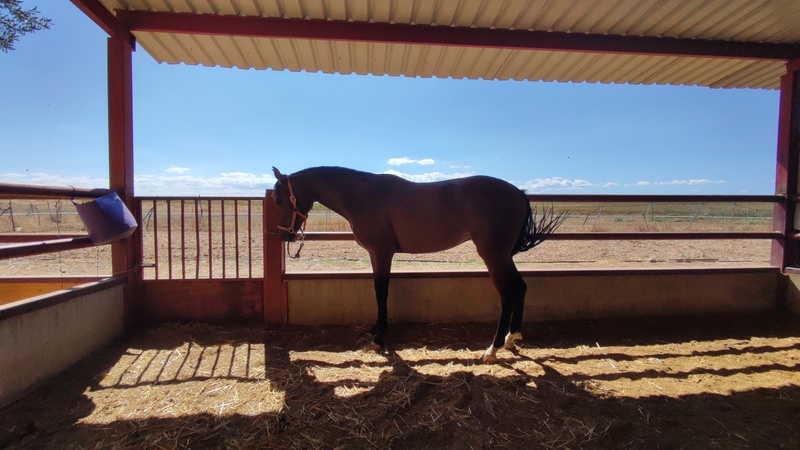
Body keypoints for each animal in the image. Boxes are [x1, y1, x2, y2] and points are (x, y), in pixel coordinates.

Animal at [270, 166, 565, 363]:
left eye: (278, 199)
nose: (285, 235)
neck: (365, 195)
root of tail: (517, 193)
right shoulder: (374, 255)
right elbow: (377, 291)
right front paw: (375, 330)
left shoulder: (383, 253)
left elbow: (382, 292)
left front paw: (379, 339)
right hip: (504, 256)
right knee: (521, 287)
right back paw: (511, 338)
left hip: (493, 255)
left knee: (507, 294)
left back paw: (491, 349)